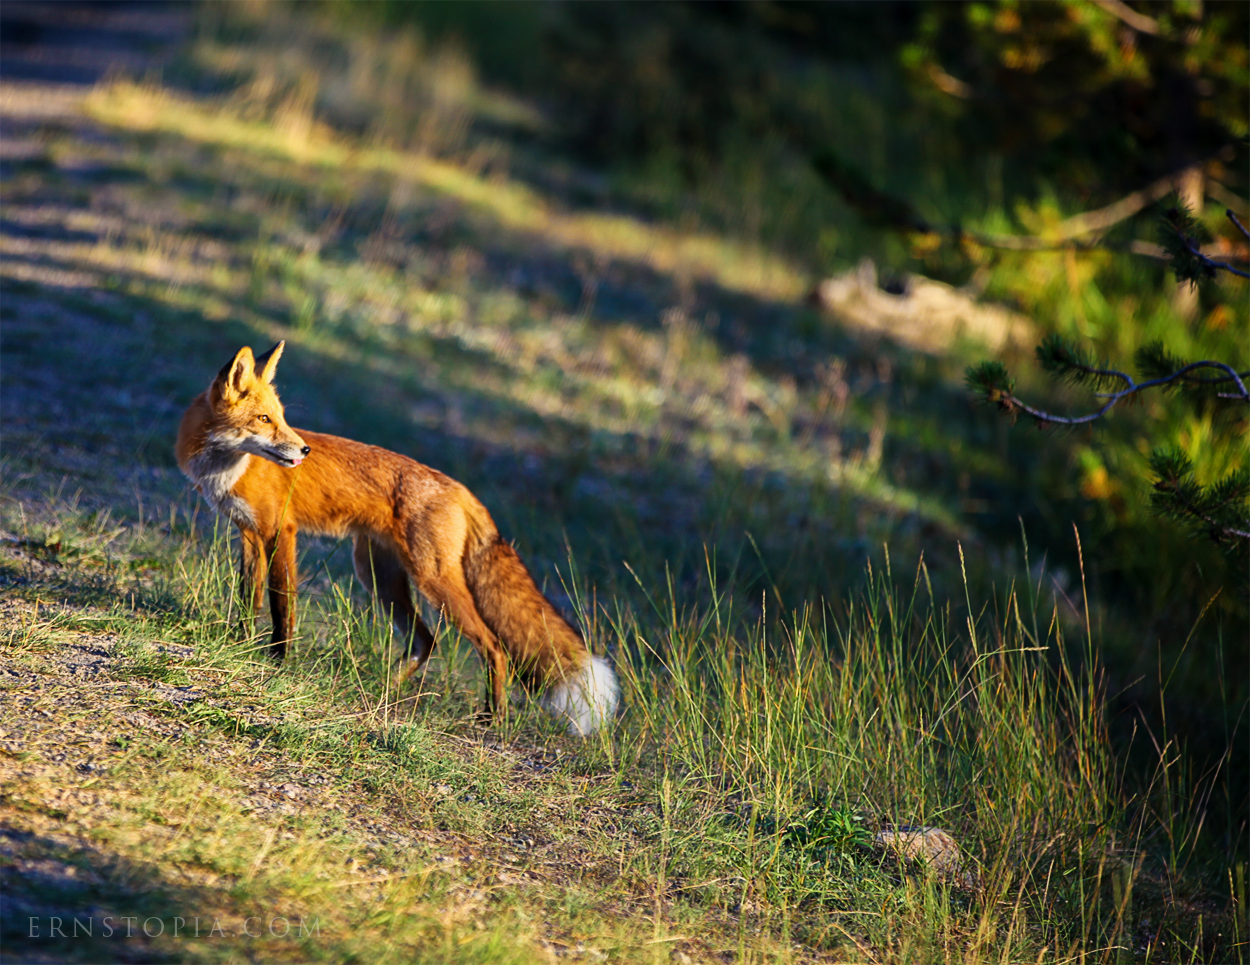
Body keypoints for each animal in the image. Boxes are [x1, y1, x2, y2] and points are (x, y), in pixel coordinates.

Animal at [176, 342, 620, 735]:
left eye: (281, 418)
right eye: (264, 419)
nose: (303, 450)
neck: (227, 467)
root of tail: (462, 490)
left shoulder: (281, 532)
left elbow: (282, 607)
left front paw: (278, 663)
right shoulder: (249, 535)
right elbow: (248, 603)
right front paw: (239, 646)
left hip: (431, 580)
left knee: (492, 646)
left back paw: (493, 719)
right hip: (379, 577)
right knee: (426, 639)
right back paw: (385, 692)